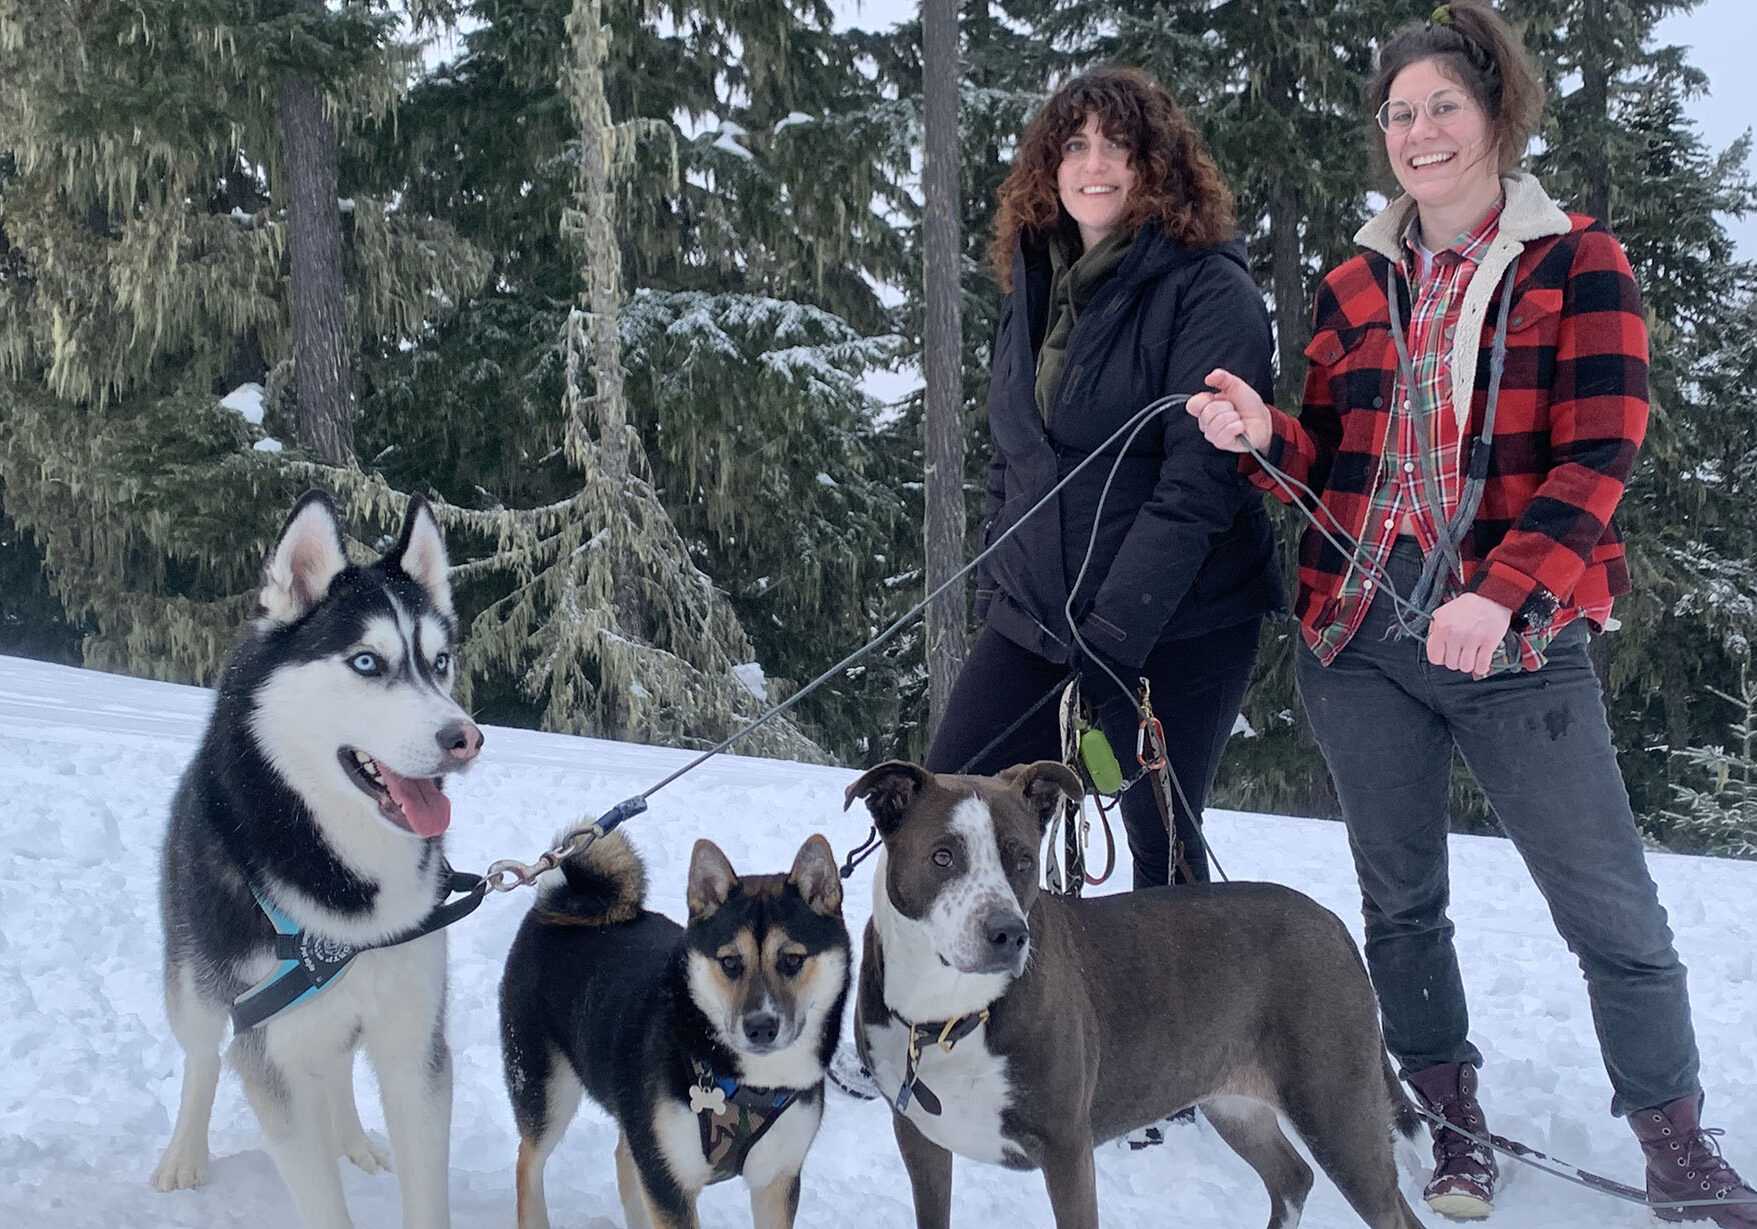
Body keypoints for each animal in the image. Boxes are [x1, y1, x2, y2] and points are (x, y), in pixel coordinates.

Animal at [498, 826, 853, 1229]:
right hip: (545, 1086)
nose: (760, 1027)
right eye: (730, 962)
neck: (752, 1082)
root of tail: (555, 905)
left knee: (623, 1157)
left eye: (792, 959)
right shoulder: (668, 1181)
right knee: (528, 1158)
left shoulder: (777, 1177)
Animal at [843, 759, 1419, 1229]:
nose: (1008, 933)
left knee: (1389, 1210)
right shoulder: (919, 1137)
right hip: (1235, 1102)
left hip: (1334, 1106)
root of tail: (1332, 923)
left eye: (1023, 859)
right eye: (942, 856)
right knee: (1293, 1176)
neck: (947, 1014)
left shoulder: (1067, 1148)